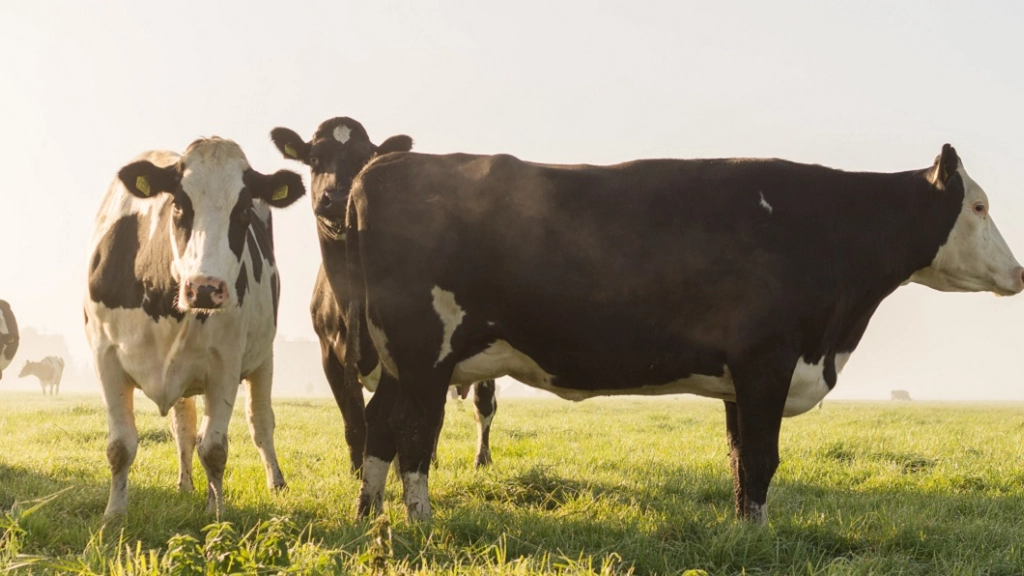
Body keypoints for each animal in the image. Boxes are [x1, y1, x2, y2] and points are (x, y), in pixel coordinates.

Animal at [83, 135, 303, 516]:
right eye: (179, 205)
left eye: (243, 211)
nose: (204, 287)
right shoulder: (105, 357)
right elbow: (120, 446)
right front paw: (114, 514)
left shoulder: (225, 364)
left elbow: (214, 449)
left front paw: (216, 514)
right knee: (183, 427)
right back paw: (184, 485)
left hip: (264, 358)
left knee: (260, 421)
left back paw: (274, 482)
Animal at [270, 116, 497, 471]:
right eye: (315, 158)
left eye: (364, 158)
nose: (338, 199)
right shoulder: (329, 355)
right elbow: (354, 422)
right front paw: (357, 471)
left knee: (482, 405)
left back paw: (479, 459)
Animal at [342, 143, 1024, 520]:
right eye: (980, 205)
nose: (1018, 272)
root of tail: (382, 165)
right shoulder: (767, 361)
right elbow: (762, 459)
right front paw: (758, 538)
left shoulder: (740, 377)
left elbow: (740, 461)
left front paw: (746, 534)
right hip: (424, 354)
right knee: (413, 437)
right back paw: (420, 523)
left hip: (402, 360)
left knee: (379, 427)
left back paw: (369, 516)